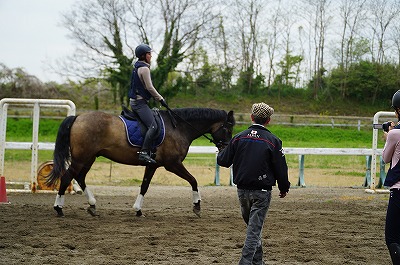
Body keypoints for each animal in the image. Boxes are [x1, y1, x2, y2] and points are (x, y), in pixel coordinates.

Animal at [45, 106, 236, 217]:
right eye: (228, 129)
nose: (226, 148)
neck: (179, 127)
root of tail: (78, 118)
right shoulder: (173, 164)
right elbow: (193, 180)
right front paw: (197, 206)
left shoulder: (152, 165)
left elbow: (144, 186)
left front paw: (138, 209)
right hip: (81, 158)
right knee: (67, 177)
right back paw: (59, 208)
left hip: (89, 158)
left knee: (80, 177)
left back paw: (92, 205)